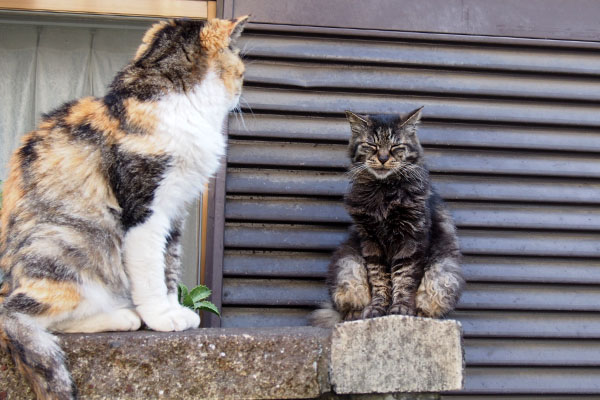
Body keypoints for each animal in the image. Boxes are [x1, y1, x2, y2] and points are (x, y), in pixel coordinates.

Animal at [0, 16, 248, 400]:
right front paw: (161, 317)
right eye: (241, 70)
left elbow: (169, 267)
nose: (241, 90)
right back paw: (124, 316)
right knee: (19, 315)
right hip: (68, 240)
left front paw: (174, 309)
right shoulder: (145, 211)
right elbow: (149, 271)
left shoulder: (175, 212)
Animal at [310, 107, 464, 328]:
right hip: (348, 267)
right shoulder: (371, 241)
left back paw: (420, 314)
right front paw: (377, 310)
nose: (383, 158)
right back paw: (356, 314)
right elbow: (379, 281)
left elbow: (404, 280)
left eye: (396, 146)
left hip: (443, 274)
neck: (383, 192)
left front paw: (401, 310)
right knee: (346, 307)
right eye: (371, 145)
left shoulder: (411, 240)